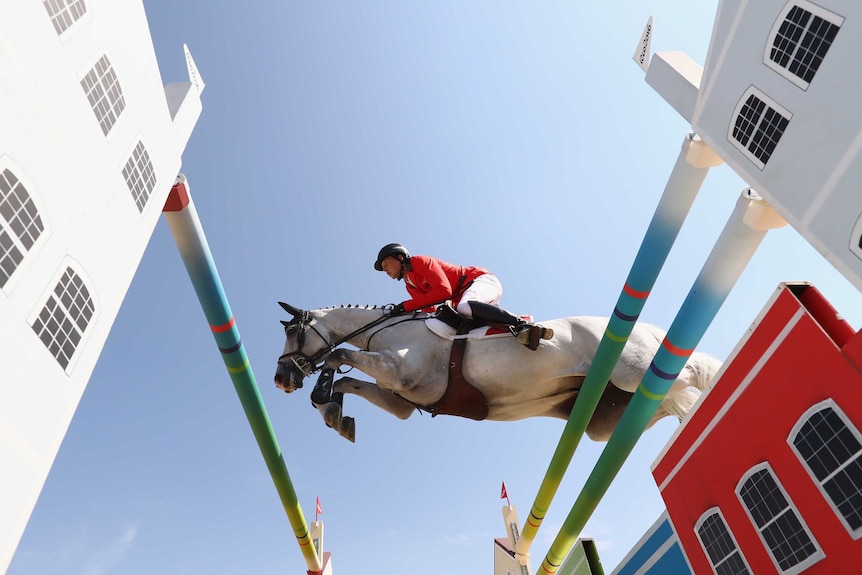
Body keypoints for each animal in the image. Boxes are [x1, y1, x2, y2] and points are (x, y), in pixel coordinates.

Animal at [274, 304, 720, 444]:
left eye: (293, 332)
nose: (281, 379)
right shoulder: (402, 399)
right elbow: (348, 378)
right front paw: (334, 413)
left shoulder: (406, 374)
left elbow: (338, 356)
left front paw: (323, 397)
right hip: (611, 417)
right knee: (672, 396)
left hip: (632, 370)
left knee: (690, 372)